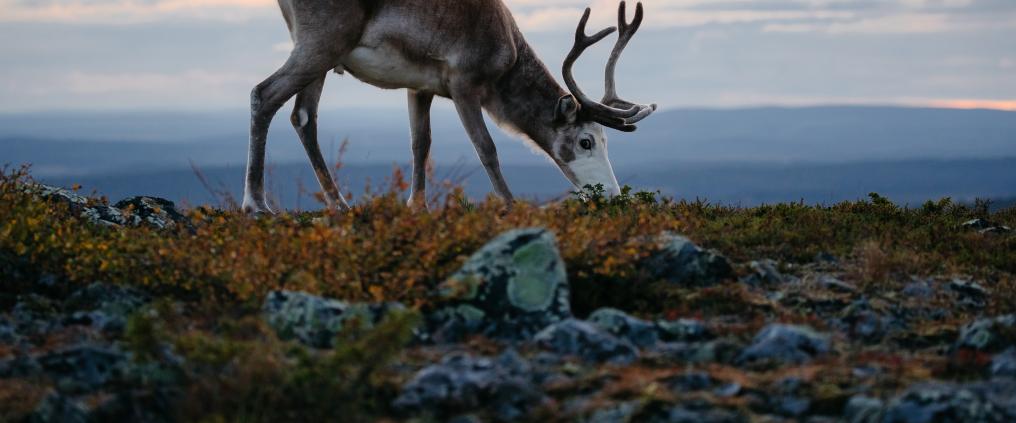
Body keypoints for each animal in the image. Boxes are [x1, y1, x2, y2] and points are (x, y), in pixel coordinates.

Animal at [242, 0, 656, 214]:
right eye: (586, 141)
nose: (613, 195)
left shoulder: (420, 86)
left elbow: (420, 145)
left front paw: (417, 206)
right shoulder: (463, 83)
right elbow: (486, 148)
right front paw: (510, 205)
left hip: (322, 53)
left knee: (302, 116)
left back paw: (339, 203)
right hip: (322, 43)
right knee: (264, 95)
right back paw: (256, 204)